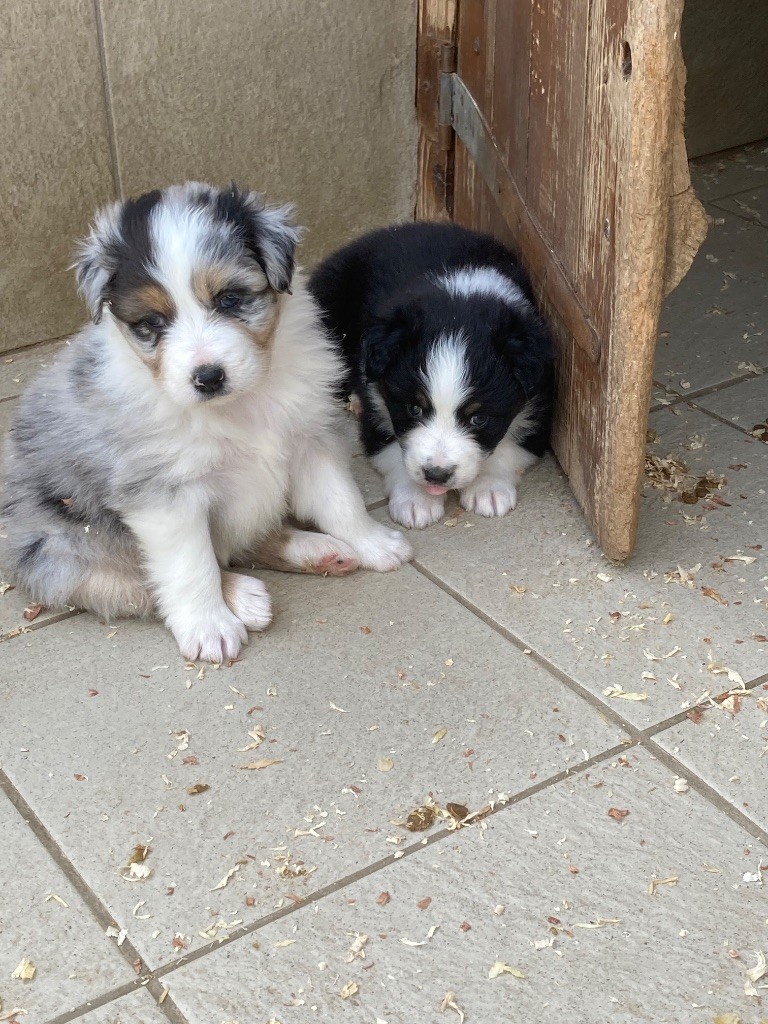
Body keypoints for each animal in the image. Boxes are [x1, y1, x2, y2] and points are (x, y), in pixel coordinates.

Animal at [1, 183, 411, 662]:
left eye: (229, 299)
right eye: (152, 322)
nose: (208, 377)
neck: (238, 406)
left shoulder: (308, 438)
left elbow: (341, 500)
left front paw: (374, 543)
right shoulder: (165, 494)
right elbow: (190, 566)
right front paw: (209, 626)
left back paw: (319, 550)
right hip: (64, 545)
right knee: (133, 579)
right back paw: (246, 598)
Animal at [309, 221, 554, 529]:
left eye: (478, 418)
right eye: (414, 409)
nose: (436, 475)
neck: (460, 295)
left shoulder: (540, 403)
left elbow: (510, 447)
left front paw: (488, 488)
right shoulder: (377, 406)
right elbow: (393, 450)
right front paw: (417, 500)